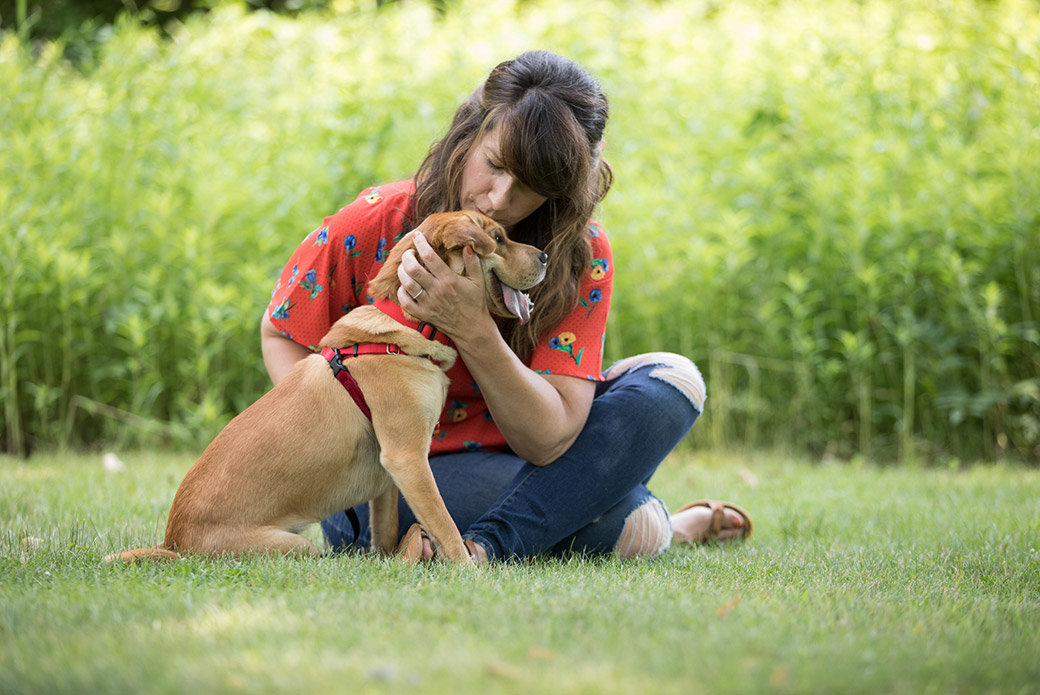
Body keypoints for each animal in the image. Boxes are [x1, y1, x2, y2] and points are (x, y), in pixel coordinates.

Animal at [105, 210, 549, 565]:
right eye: (498, 238)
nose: (545, 256)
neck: (402, 325)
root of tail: (173, 543)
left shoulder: (389, 479)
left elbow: (389, 532)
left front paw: (395, 560)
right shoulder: (407, 458)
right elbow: (446, 524)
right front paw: (467, 570)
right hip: (296, 547)